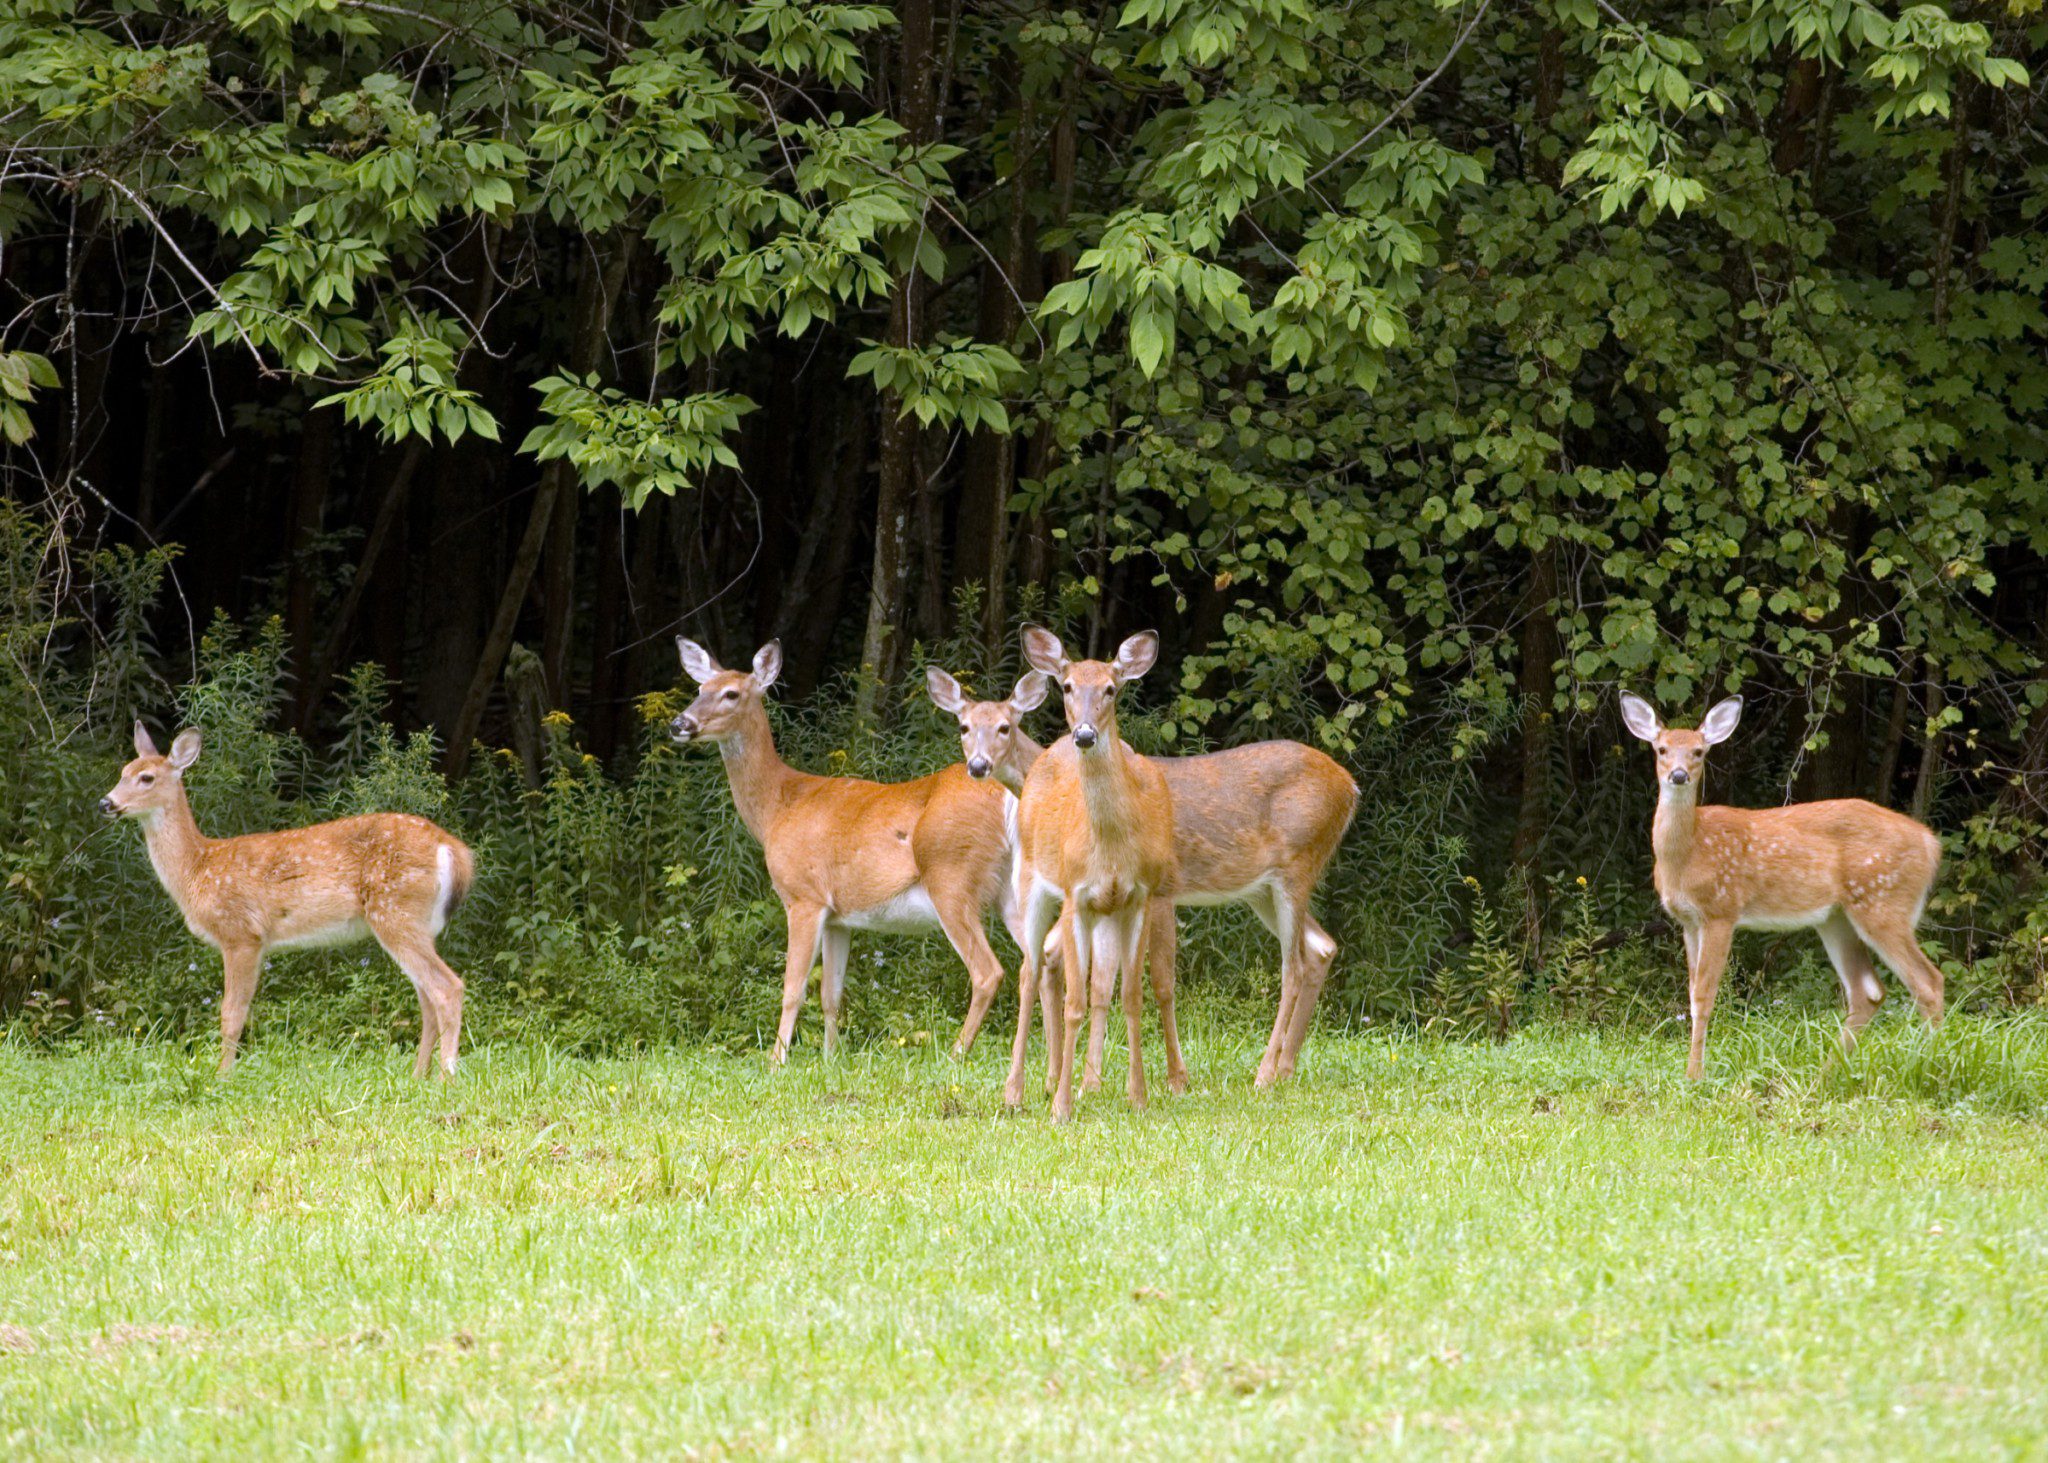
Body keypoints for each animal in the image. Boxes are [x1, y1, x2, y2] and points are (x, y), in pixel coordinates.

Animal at [102, 717, 475, 1073]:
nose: (107, 802)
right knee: (427, 996)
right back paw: (418, 1076)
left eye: (146, 778)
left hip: (395, 910)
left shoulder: (241, 933)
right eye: (122, 773)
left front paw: (222, 1076)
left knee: (447, 987)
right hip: (416, 921)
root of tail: (451, 849)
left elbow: (231, 1013)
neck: (198, 867)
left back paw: (446, 1076)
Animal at [667, 639, 1024, 1057]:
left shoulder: (803, 896)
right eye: (699, 690)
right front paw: (829, 1057)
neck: (778, 808)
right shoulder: (839, 916)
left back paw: (955, 1054)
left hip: (951, 877)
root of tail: (1009, 798)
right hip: (1012, 889)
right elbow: (830, 994)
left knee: (989, 972)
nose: (679, 724)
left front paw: (777, 1059)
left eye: (731, 694)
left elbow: (793, 990)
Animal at [933, 659, 1359, 1098]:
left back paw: (1265, 1073)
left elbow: (1160, 983)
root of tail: (1351, 787)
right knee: (1321, 946)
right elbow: (1090, 974)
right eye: (964, 726)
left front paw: (1173, 1079)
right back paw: (1286, 1068)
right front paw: (1080, 1081)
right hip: (1263, 888)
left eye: (1005, 727)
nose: (978, 765)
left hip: (1298, 864)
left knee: (1294, 965)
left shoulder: (1163, 889)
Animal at [1011, 622, 1179, 1114]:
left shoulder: (1138, 896)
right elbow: (1074, 1003)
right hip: (1029, 879)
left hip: (1107, 913)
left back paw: (1083, 1083)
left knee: (1099, 985)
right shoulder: (1075, 895)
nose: (1084, 734)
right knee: (1027, 973)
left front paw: (1138, 1097)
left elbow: (1130, 995)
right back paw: (1016, 1091)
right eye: (1066, 686)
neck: (1110, 847)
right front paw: (1061, 1108)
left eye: (1111, 688)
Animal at [1622, 688, 1941, 1073]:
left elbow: (1704, 995)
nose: (1679, 775)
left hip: (1884, 901)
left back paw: (1932, 1063)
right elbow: (1692, 993)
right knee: (1868, 991)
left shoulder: (1721, 911)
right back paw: (1827, 1071)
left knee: (1928, 982)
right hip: (1837, 918)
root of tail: (1930, 843)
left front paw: (1694, 1075)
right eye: (1662, 749)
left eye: (1698, 751)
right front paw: (1691, 1072)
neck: (1688, 854)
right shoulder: (1688, 921)